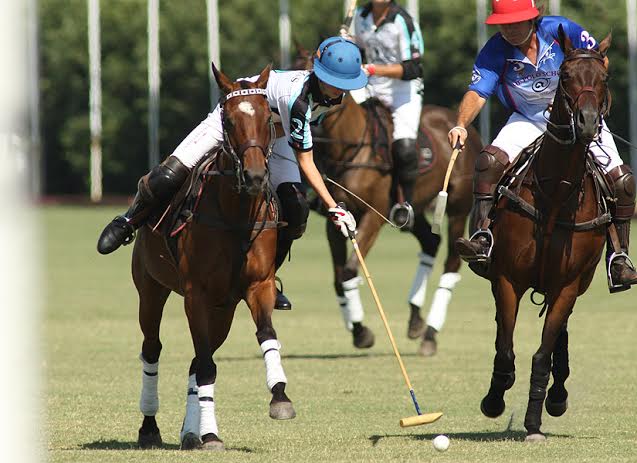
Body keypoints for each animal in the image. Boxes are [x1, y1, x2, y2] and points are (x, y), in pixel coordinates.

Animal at [132, 63, 296, 452]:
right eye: (230, 120)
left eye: (267, 117)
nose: (254, 176)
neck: (235, 214)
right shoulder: (196, 295)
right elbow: (206, 365)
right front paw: (210, 435)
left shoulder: (258, 286)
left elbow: (266, 334)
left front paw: (280, 397)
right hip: (151, 288)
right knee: (153, 349)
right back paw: (150, 427)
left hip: (223, 310)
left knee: (196, 359)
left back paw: (189, 432)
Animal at [294, 43, 482, 356]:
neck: (349, 148)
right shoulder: (335, 218)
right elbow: (338, 278)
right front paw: (359, 331)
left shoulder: (374, 215)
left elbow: (348, 271)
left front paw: (361, 332)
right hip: (413, 211)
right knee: (430, 242)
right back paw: (416, 321)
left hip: (457, 206)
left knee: (452, 262)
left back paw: (430, 334)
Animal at [480, 29, 612, 442]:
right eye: (566, 76)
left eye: (604, 78)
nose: (587, 123)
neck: (556, 194)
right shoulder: (507, 278)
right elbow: (505, 350)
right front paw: (494, 398)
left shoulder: (568, 284)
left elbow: (542, 353)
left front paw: (535, 421)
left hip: (574, 284)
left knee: (559, 336)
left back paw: (557, 395)